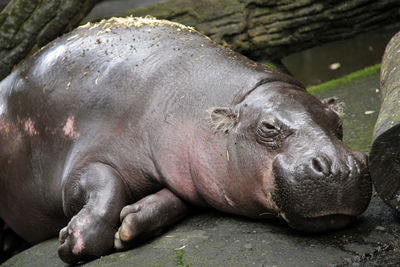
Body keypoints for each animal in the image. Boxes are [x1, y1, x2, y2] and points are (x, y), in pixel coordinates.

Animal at [0, 17, 372, 266]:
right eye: (268, 127)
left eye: (339, 123)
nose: (339, 167)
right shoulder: (85, 157)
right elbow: (104, 185)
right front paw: (71, 243)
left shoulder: (188, 174)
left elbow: (175, 199)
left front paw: (130, 224)